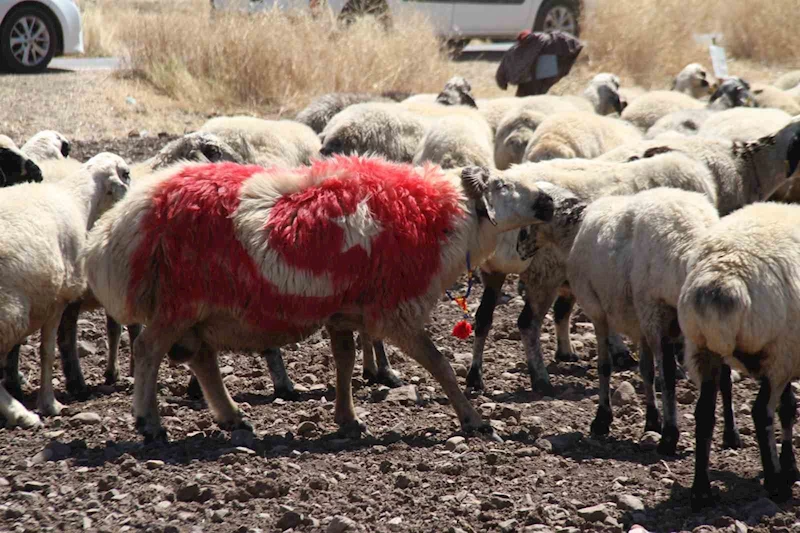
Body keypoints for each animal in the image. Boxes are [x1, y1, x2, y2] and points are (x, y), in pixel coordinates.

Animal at [0, 153, 130, 428]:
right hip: (11, 311)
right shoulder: (57, 300)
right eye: (126, 173)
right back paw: (21, 414)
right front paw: (49, 403)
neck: (78, 200)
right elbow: (47, 351)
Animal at [83, 156, 556, 442]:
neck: (440, 217)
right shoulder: (395, 309)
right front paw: (474, 420)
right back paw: (149, 422)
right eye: (502, 184)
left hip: (195, 306)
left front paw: (348, 419)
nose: (549, 200)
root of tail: (120, 227)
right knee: (148, 350)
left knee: (200, 358)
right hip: (180, 300)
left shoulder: (344, 311)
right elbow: (439, 364)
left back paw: (232, 415)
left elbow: (345, 361)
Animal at [568, 186, 744, 454]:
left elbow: (656, 373)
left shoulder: (634, 317)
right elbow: (652, 371)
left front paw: (666, 433)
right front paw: (657, 423)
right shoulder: (649, 319)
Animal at [680, 197, 800, 510]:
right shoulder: (785, 355)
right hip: (778, 353)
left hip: (702, 349)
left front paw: (791, 466)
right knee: (761, 412)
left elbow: (788, 408)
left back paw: (701, 491)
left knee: (704, 414)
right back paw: (775, 486)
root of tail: (722, 281)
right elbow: (786, 409)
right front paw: (787, 469)